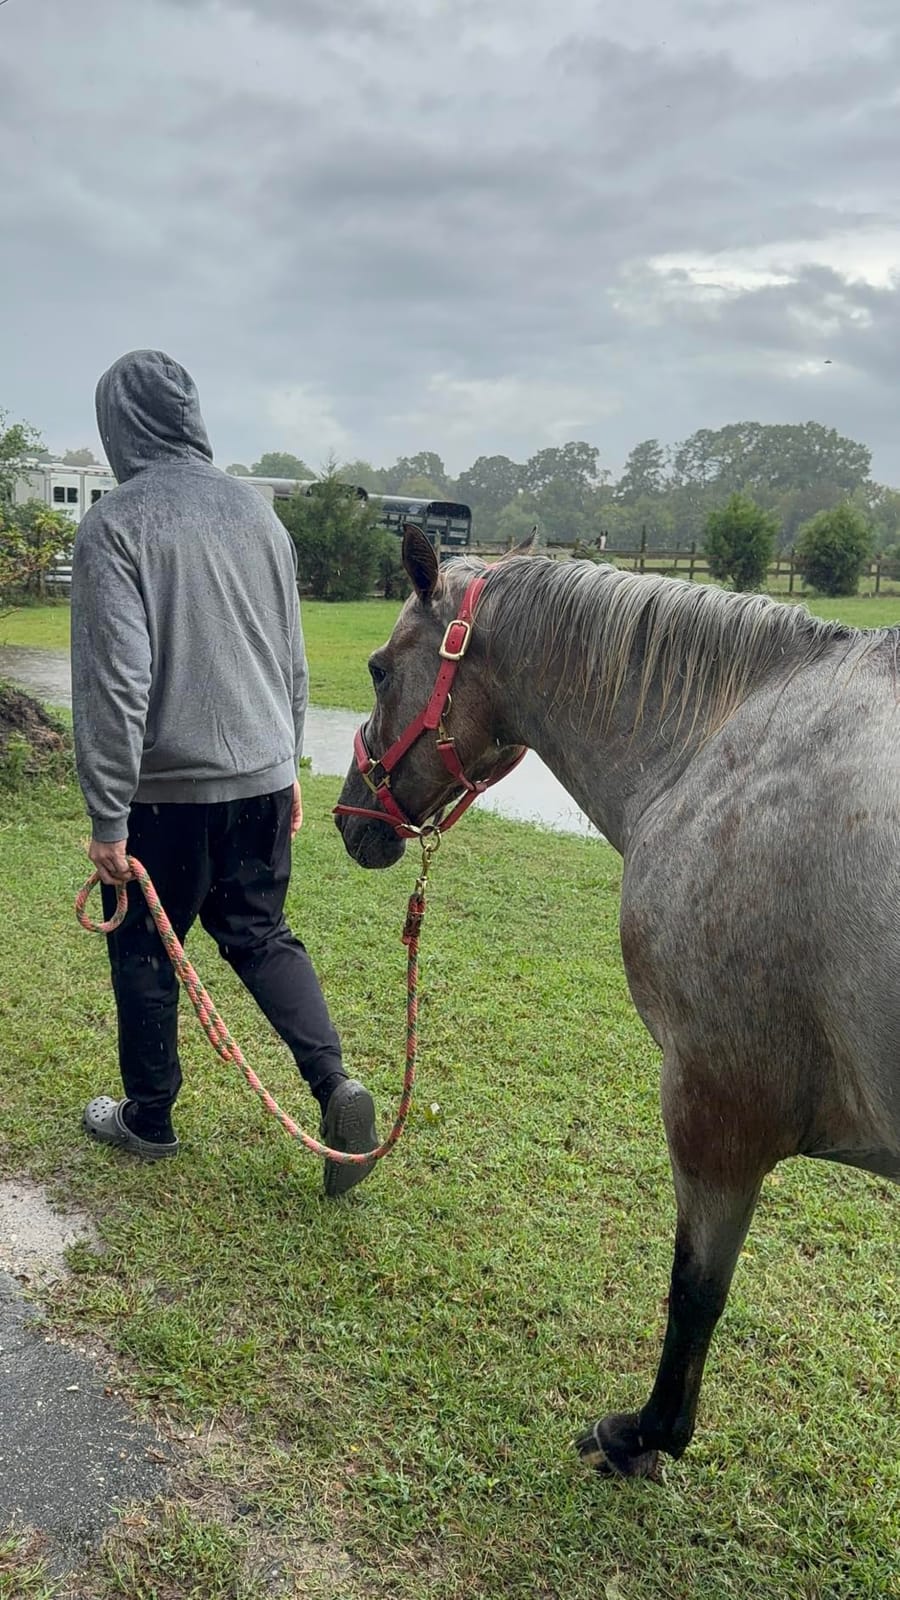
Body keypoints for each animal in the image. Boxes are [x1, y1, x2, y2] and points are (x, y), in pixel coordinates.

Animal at [334, 526, 900, 1480]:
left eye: (378, 669)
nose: (347, 818)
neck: (718, 741)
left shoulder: (716, 1105)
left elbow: (696, 1291)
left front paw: (644, 1434)